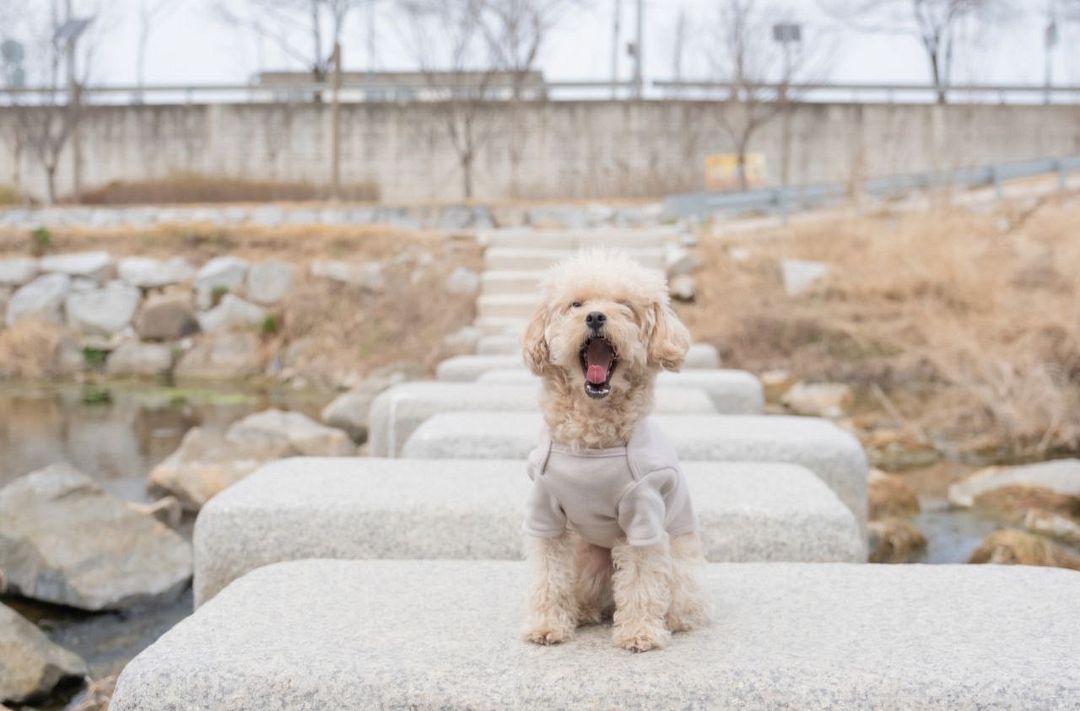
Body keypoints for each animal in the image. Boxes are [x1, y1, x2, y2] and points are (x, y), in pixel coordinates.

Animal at [520, 246, 712, 652]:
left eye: (625, 306)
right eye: (575, 304)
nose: (595, 316)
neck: (592, 439)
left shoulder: (644, 513)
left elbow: (641, 579)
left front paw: (640, 633)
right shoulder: (545, 509)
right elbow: (548, 574)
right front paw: (546, 626)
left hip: (680, 568)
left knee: (678, 600)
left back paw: (672, 621)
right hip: (588, 555)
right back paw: (582, 612)